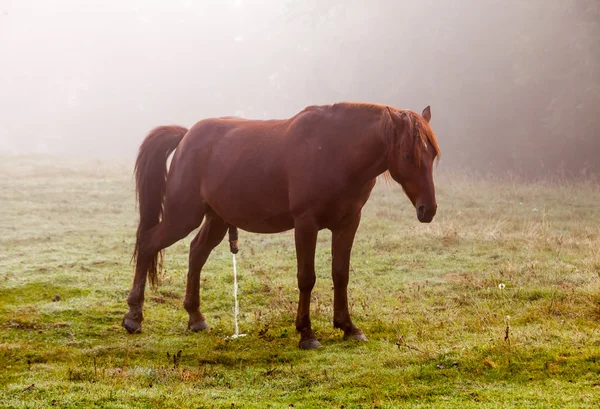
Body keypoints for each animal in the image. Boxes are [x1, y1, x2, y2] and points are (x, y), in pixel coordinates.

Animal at [122, 102, 440, 348]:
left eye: (433, 154)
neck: (335, 150)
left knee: (196, 253)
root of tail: (187, 135)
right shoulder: (305, 224)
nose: (429, 209)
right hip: (182, 215)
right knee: (149, 243)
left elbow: (341, 274)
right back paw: (134, 317)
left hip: (217, 219)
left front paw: (348, 327)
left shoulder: (348, 224)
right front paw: (307, 333)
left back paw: (195, 318)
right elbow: (306, 278)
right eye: (409, 155)